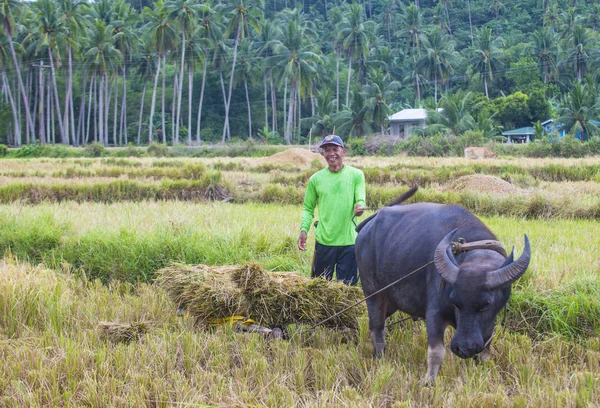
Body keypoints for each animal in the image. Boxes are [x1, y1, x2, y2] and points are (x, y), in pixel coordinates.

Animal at [356, 188, 528, 386]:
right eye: (455, 301)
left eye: (486, 304)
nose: (463, 348)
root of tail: (371, 223)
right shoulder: (435, 313)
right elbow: (437, 351)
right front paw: (429, 383)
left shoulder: (488, 324)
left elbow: (485, 351)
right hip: (374, 293)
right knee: (377, 327)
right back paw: (379, 357)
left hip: (392, 300)